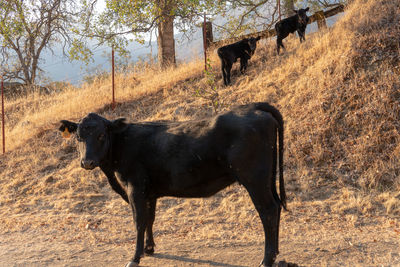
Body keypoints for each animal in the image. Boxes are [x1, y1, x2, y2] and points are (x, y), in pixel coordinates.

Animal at [57, 102, 286, 267]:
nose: (87, 162)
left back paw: (266, 260)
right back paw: (275, 254)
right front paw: (149, 249)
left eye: (101, 135)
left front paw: (135, 257)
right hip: (267, 178)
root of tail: (253, 107)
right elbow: (150, 219)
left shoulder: (135, 189)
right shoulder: (149, 192)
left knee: (267, 210)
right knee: (276, 206)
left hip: (254, 178)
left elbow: (139, 221)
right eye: (78, 137)